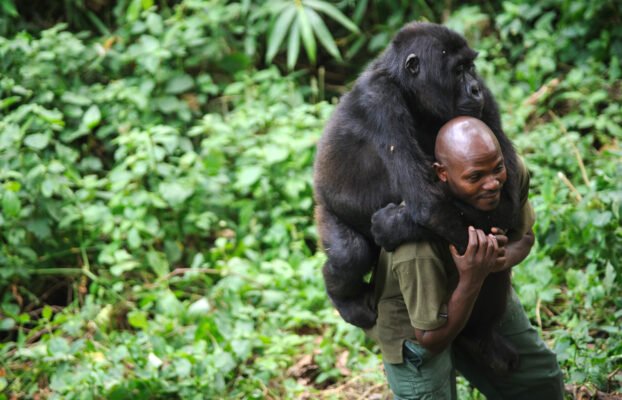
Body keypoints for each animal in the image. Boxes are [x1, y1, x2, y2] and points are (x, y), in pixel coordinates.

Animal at [314, 21, 524, 372]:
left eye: (471, 68)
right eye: (457, 70)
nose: (475, 89)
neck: (408, 90)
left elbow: (507, 199)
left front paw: (392, 226)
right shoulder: (380, 101)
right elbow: (429, 204)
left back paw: (480, 338)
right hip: (326, 208)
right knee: (349, 253)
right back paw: (344, 297)